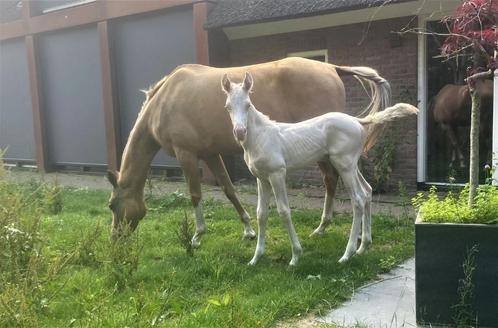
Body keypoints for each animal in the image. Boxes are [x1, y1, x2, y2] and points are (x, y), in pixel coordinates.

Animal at [107, 57, 392, 246]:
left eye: (112, 205)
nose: (115, 239)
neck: (164, 100)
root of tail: (331, 67)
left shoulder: (186, 154)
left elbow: (195, 194)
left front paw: (197, 235)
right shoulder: (210, 154)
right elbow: (228, 189)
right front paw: (248, 229)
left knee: (332, 180)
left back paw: (325, 227)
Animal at [221, 72, 416, 266]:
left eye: (248, 105)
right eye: (228, 107)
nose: (240, 132)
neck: (260, 137)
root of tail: (356, 120)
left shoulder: (277, 174)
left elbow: (284, 211)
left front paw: (295, 256)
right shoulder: (262, 178)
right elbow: (261, 214)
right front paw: (256, 258)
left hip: (344, 165)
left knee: (358, 200)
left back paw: (347, 254)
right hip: (351, 165)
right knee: (367, 191)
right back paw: (363, 246)